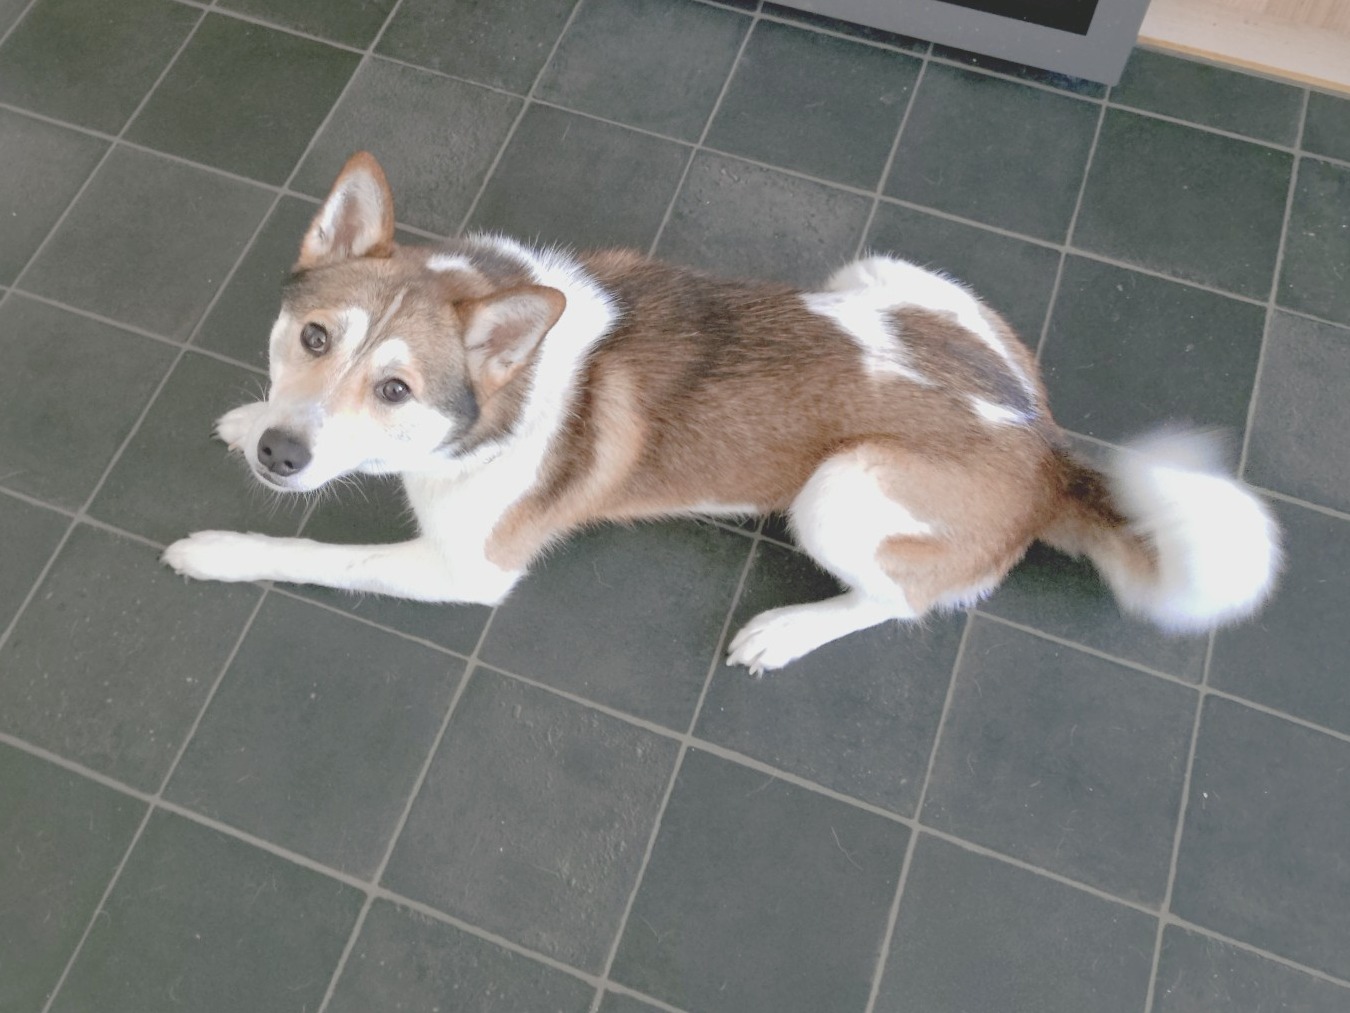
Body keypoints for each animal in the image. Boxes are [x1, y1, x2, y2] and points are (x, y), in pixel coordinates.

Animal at [163, 152, 1281, 674]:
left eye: (394, 388)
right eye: (314, 339)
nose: (280, 454)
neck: (498, 393)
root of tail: (1048, 448)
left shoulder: (465, 570)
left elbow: (316, 553)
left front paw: (218, 548)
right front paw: (247, 420)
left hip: (838, 488)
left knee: (902, 600)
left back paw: (787, 630)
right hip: (878, 273)